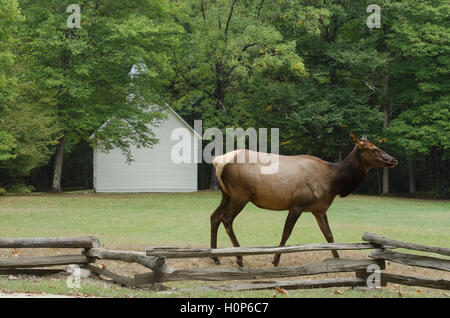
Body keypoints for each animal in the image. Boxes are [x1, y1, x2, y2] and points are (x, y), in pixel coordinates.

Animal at [211, 132, 398, 266]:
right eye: (374, 149)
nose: (393, 159)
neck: (334, 183)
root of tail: (218, 162)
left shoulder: (319, 209)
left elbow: (329, 235)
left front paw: (338, 259)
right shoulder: (297, 204)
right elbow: (286, 232)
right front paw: (275, 260)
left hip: (226, 194)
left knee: (214, 216)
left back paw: (215, 257)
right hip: (240, 194)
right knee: (226, 219)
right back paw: (239, 257)